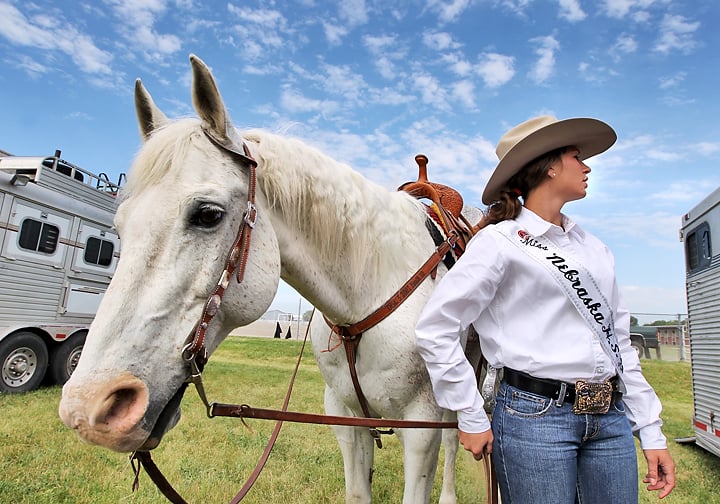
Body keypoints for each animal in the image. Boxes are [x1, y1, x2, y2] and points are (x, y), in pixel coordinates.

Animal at [60, 55, 478, 504]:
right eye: (120, 227)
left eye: (208, 214)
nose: (90, 406)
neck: (371, 295)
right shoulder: (345, 418)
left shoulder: (421, 427)